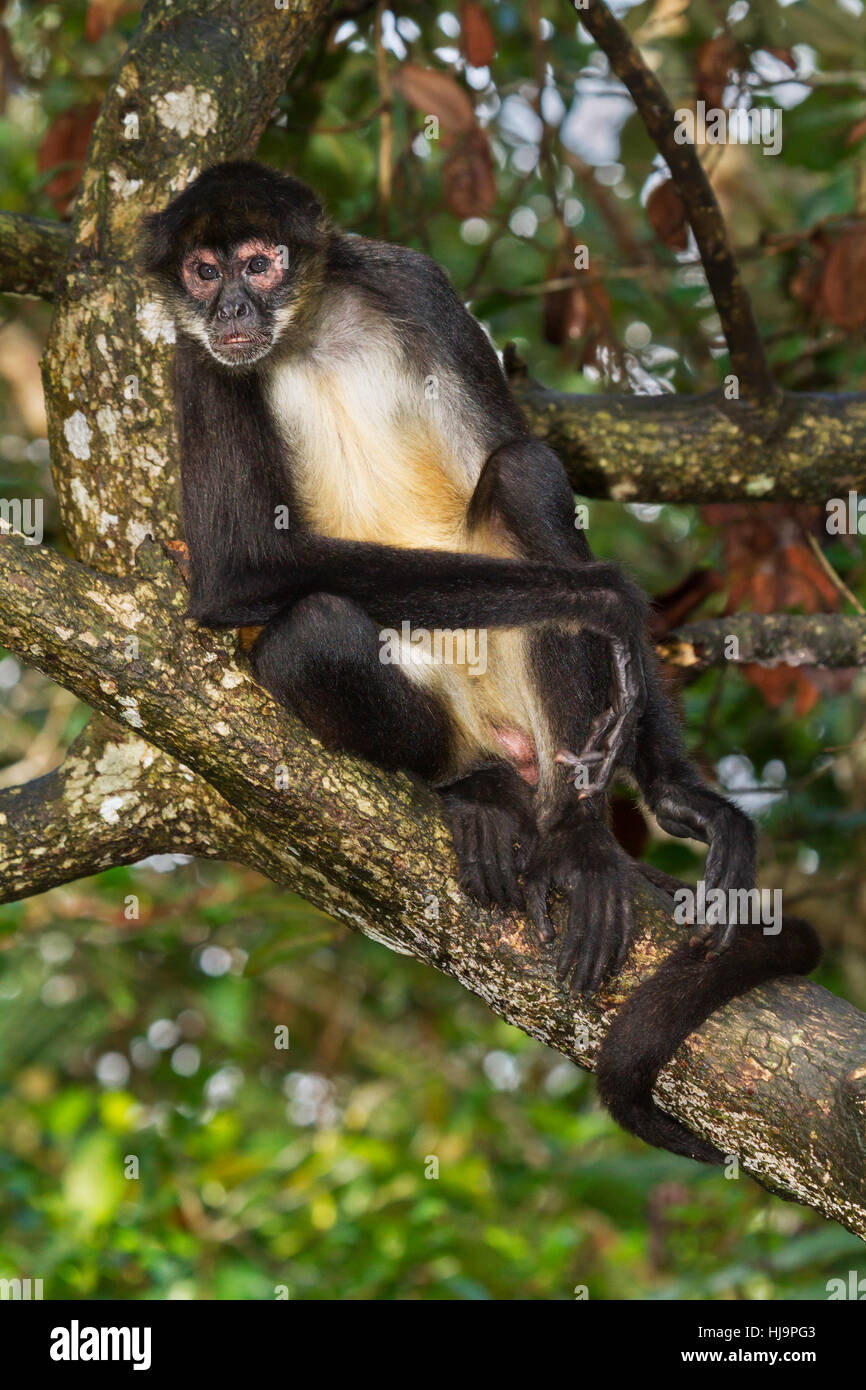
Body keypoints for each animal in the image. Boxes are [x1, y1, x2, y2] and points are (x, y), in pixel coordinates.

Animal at [143, 160, 820, 1163]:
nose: (229, 304)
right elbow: (239, 573)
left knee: (523, 472)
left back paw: (579, 846)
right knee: (315, 633)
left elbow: (515, 460)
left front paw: (682, 799)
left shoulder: (415, 286)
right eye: (200, 271)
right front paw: (607, 598)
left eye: (260, 263)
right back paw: (479, 791)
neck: (305, 334)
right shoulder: (196, 364)